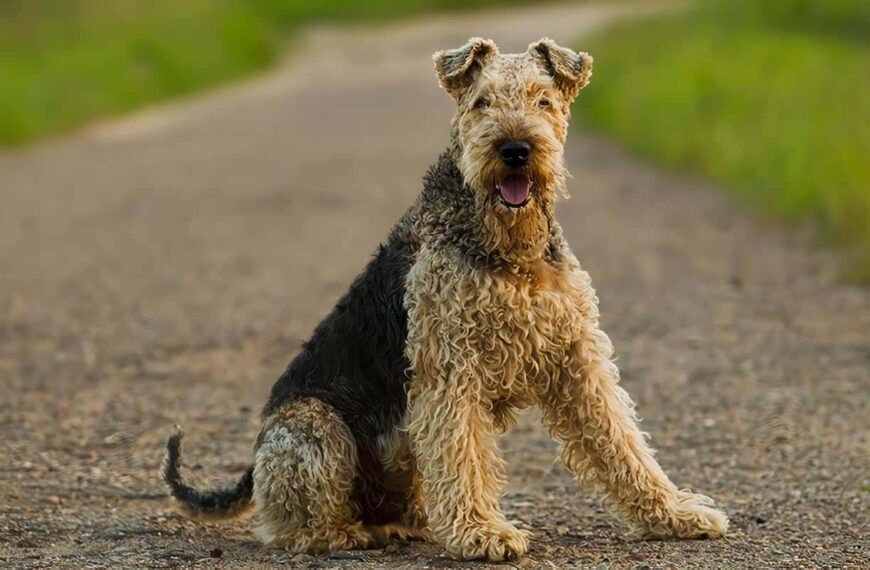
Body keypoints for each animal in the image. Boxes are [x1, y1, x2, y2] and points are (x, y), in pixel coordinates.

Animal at [162, 36, 728, 560]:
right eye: (481, 102)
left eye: (543, 99)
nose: (515, 150)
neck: (509, 249)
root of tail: (255, 459)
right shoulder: (452, 367)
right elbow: (462, 457)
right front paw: (483, 534)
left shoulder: (576, 358)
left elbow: (623, 443)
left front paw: (676, 514)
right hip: (313, 425)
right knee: (295, 526)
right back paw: (352, 534)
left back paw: (401, 526)